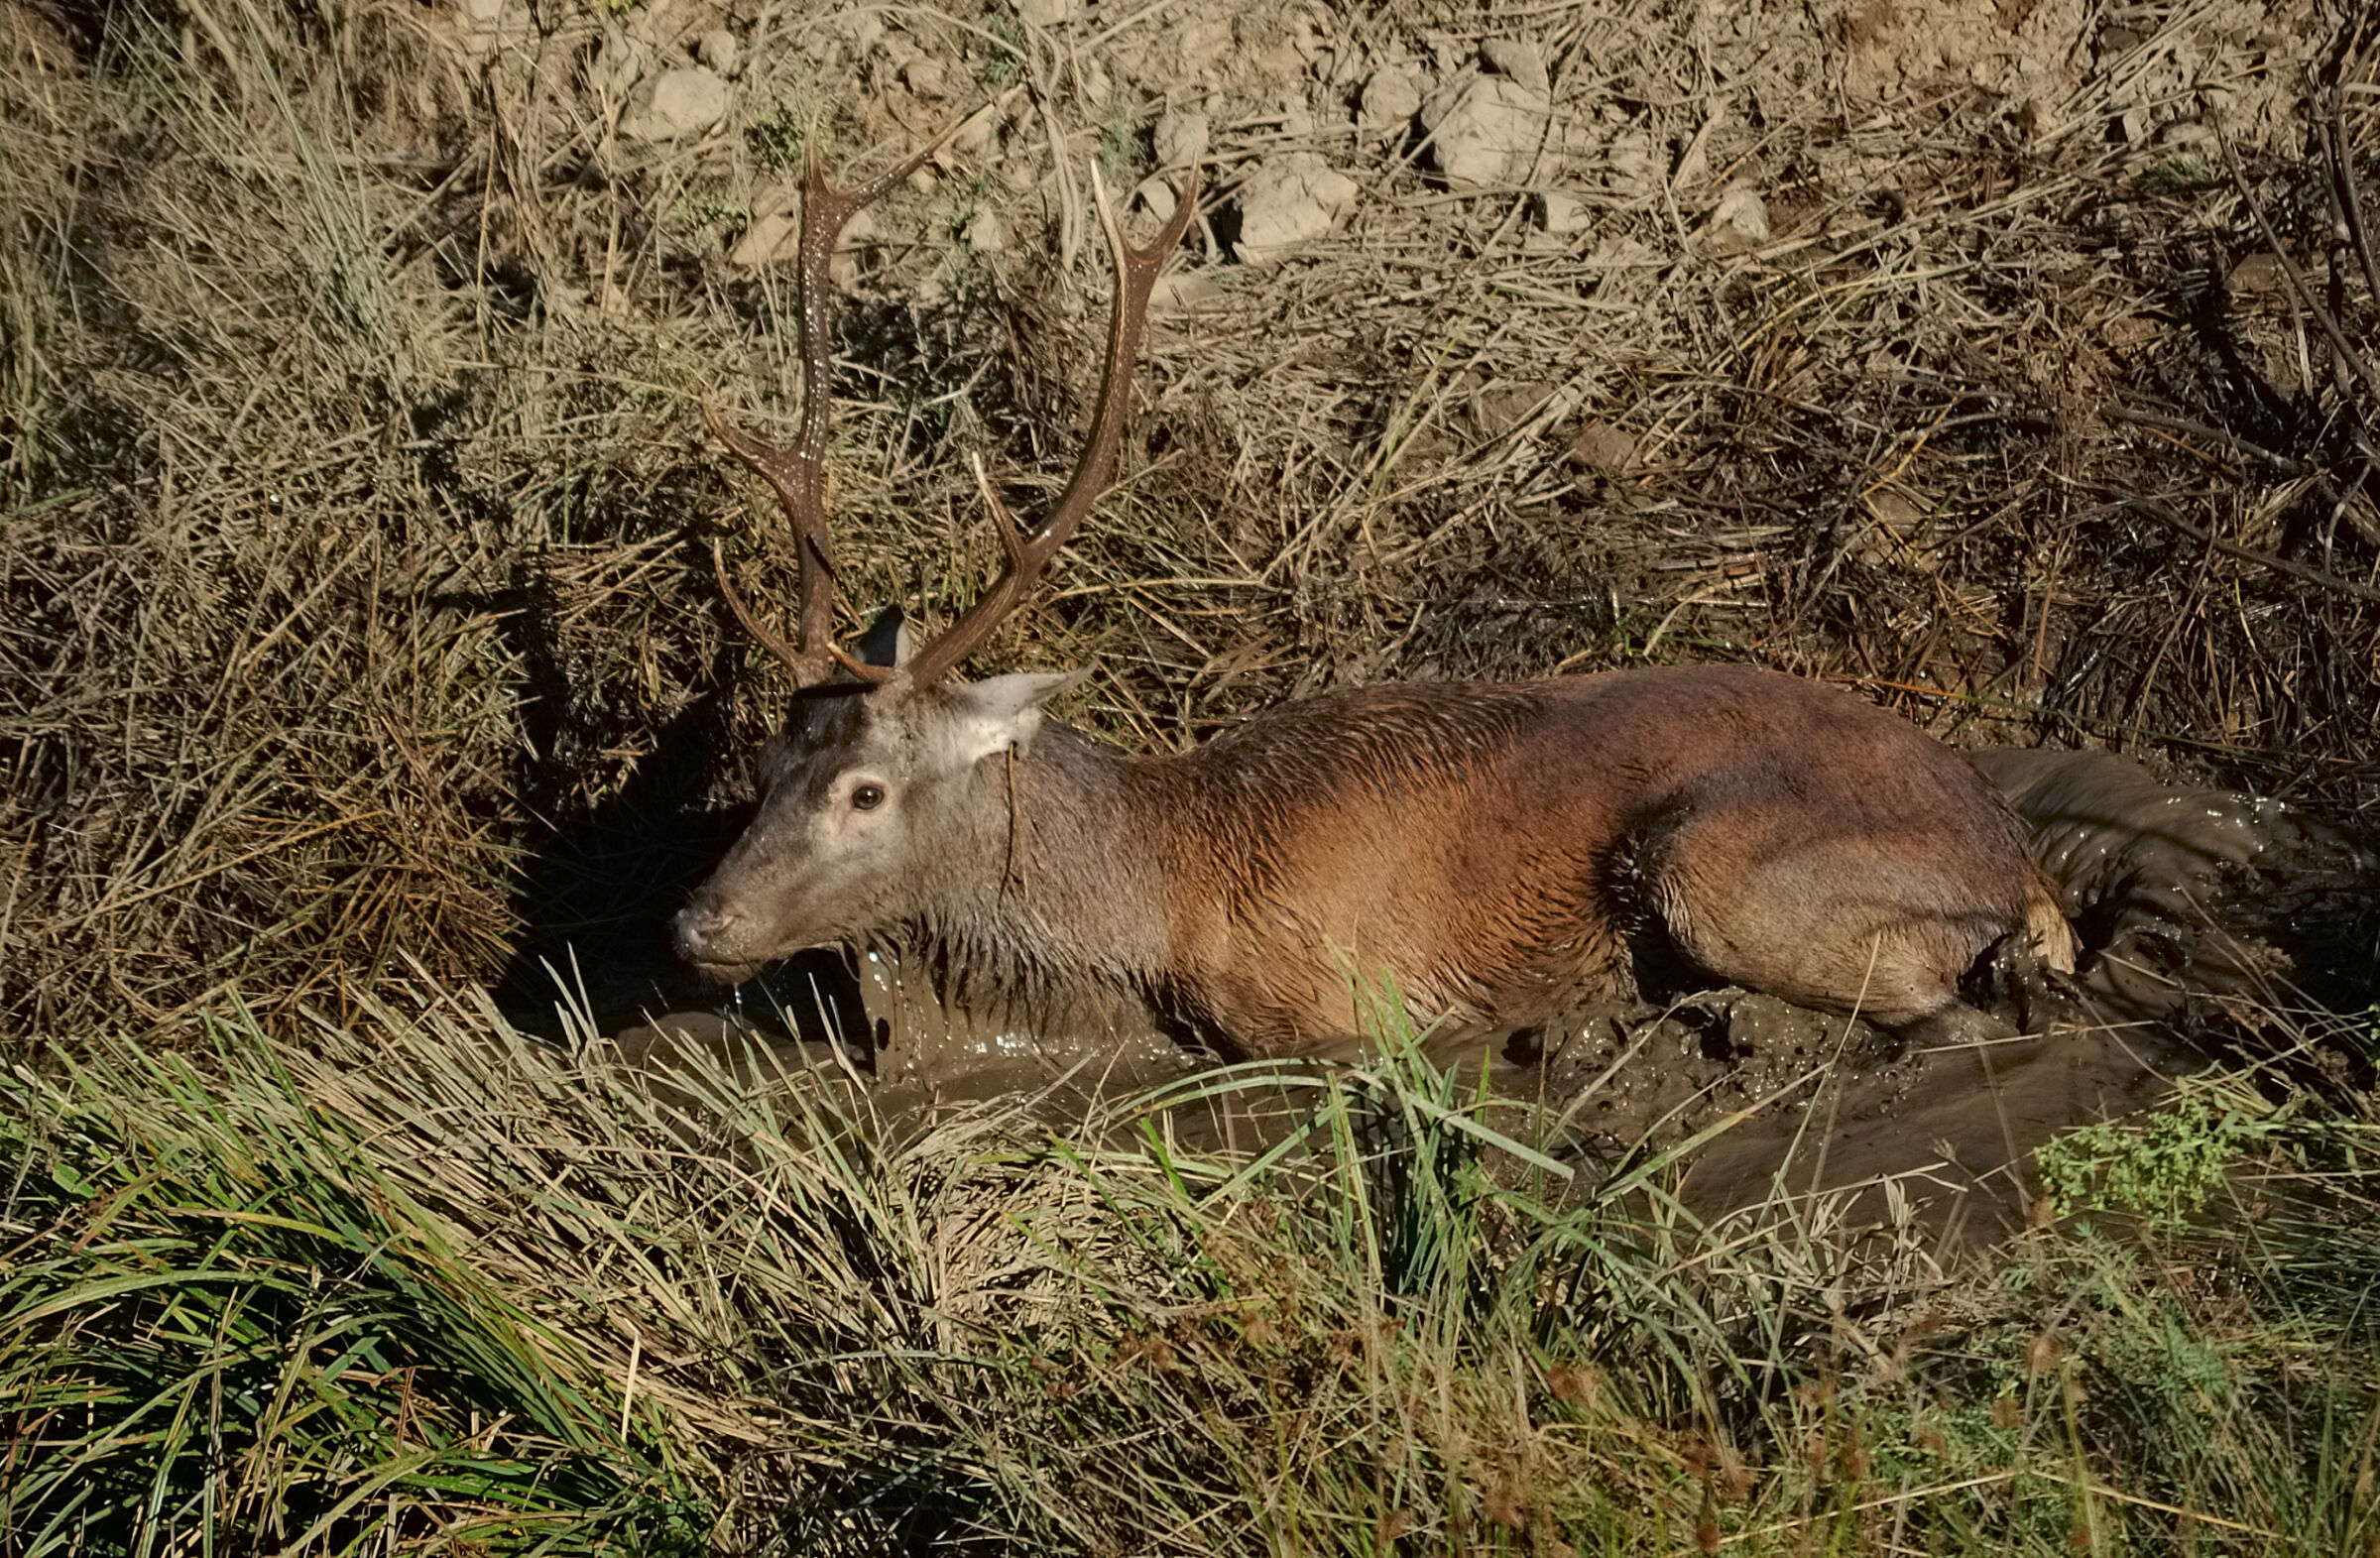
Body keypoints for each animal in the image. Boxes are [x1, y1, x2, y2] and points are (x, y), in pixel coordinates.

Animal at [673, 139, 2079, 1062]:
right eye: (768, 764)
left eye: (867, 791)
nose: (698, 918)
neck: (1163, 897)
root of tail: (2024, 869)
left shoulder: (1337, 1010)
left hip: (1722, 864)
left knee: (1955, 1004)